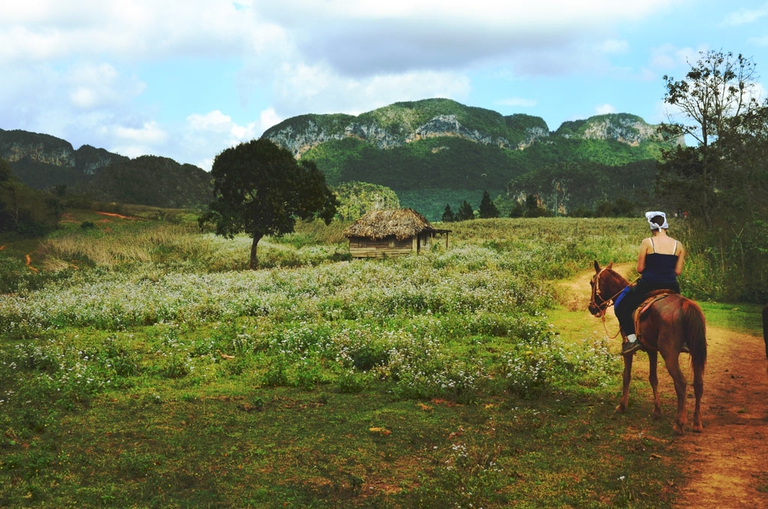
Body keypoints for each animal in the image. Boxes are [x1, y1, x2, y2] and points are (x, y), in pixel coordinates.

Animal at [588, 261, 707, 434]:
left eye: (592, 282)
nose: (591, 308)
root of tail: (685, 305)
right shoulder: (652, 350)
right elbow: (653, 378)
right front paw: (657, 410)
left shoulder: (627, 350)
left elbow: (626, 376)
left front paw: (622, 406)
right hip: (696, 351)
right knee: (698, 383)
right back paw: (697, 423)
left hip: (670, 354)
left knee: (681, 383)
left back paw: (679, 424)